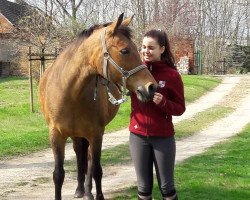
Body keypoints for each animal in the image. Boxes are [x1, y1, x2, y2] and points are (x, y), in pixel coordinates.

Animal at [39, 13, 157, 199]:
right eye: (125, 50)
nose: (151, 87)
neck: (69, 92)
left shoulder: (96, 134)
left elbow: (96, 170)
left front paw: (97, 194)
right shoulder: (56, 135)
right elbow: (58, 175)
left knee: (88, 160)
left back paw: (87, 191)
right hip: (76, 135)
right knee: (80, 154)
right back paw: (80, 189)